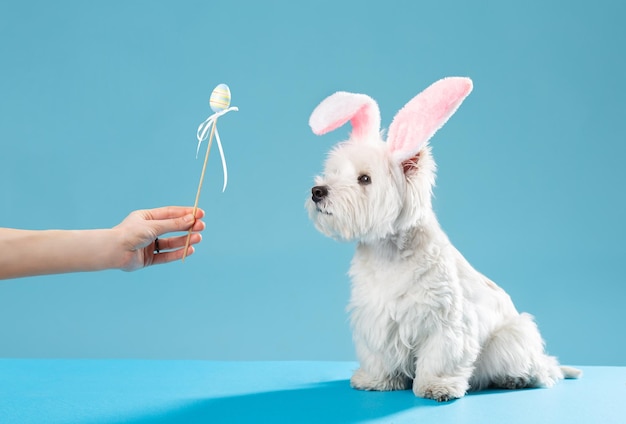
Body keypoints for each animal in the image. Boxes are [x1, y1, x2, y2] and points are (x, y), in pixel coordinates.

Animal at [304, 78, 576, 402]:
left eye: (364, 179)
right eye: (333, 172)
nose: (317, 191)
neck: (387, 252)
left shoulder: (446, 321)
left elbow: (440, 357)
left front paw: (437, 386)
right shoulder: (375, 318)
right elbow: (379, 355)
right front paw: (376, 380)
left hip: (511, 338)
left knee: (543, 371)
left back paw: (516, 379)